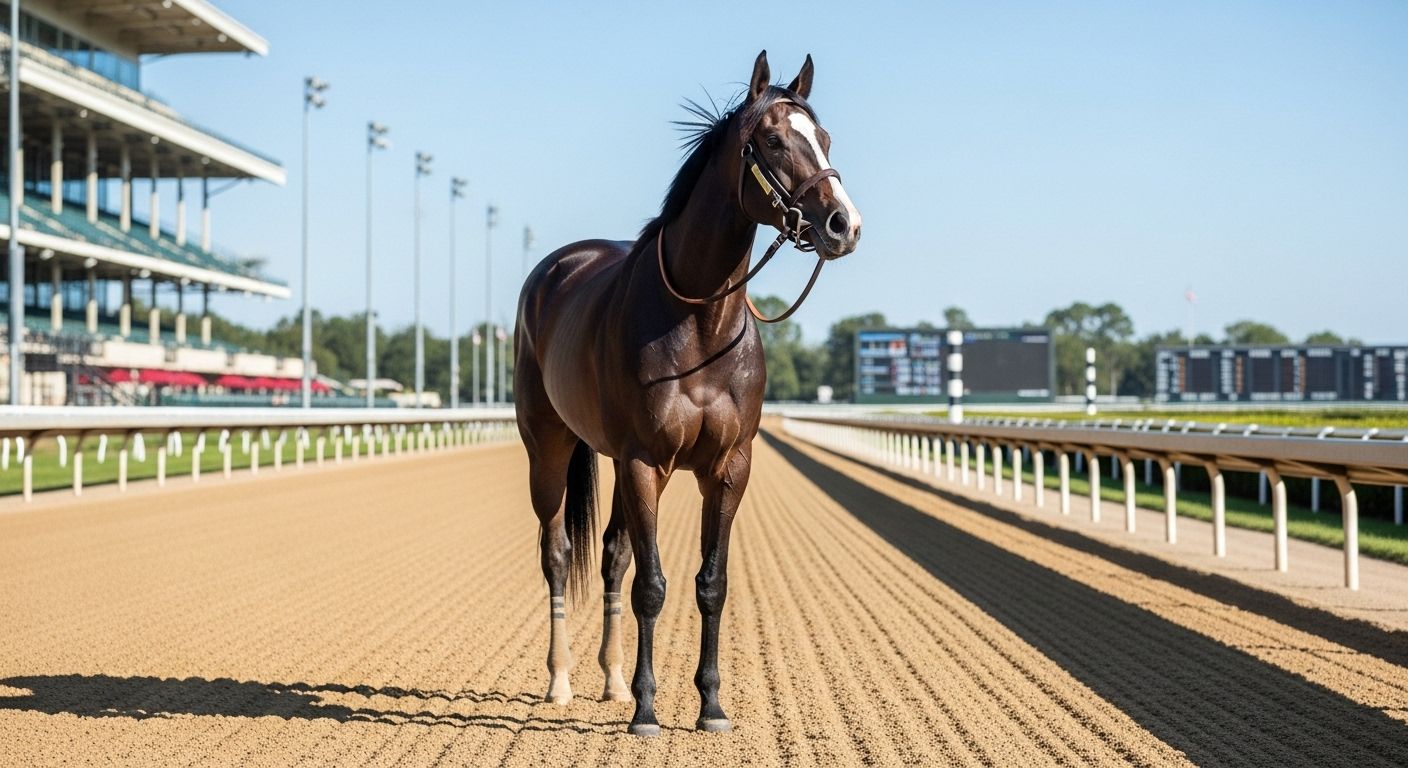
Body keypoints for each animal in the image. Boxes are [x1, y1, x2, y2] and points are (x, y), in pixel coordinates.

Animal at [513, 50, 862, 737]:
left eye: (826, 138)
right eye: (773, 140)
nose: (844, 224)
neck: (700, 325)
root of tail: (553, 270)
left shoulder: (728, 468)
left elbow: (710, 583)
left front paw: (710, 706)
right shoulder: (646, 462)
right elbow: (652, 585)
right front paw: (648, 711)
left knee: (612, 554)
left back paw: (612, 683)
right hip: (549, 448)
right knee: (559, 552)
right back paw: (562, 682)